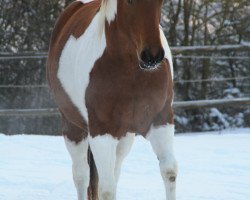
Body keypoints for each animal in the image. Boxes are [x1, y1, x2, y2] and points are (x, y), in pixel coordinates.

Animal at [46, 0, 177, 199]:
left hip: (124, 137)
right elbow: (106, 189)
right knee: (81, 176)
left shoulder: (161, 121)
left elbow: (169, 172)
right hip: (73, 128)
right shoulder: (101, 133)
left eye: (161, 2)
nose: (152, 56)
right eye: (129, 2)